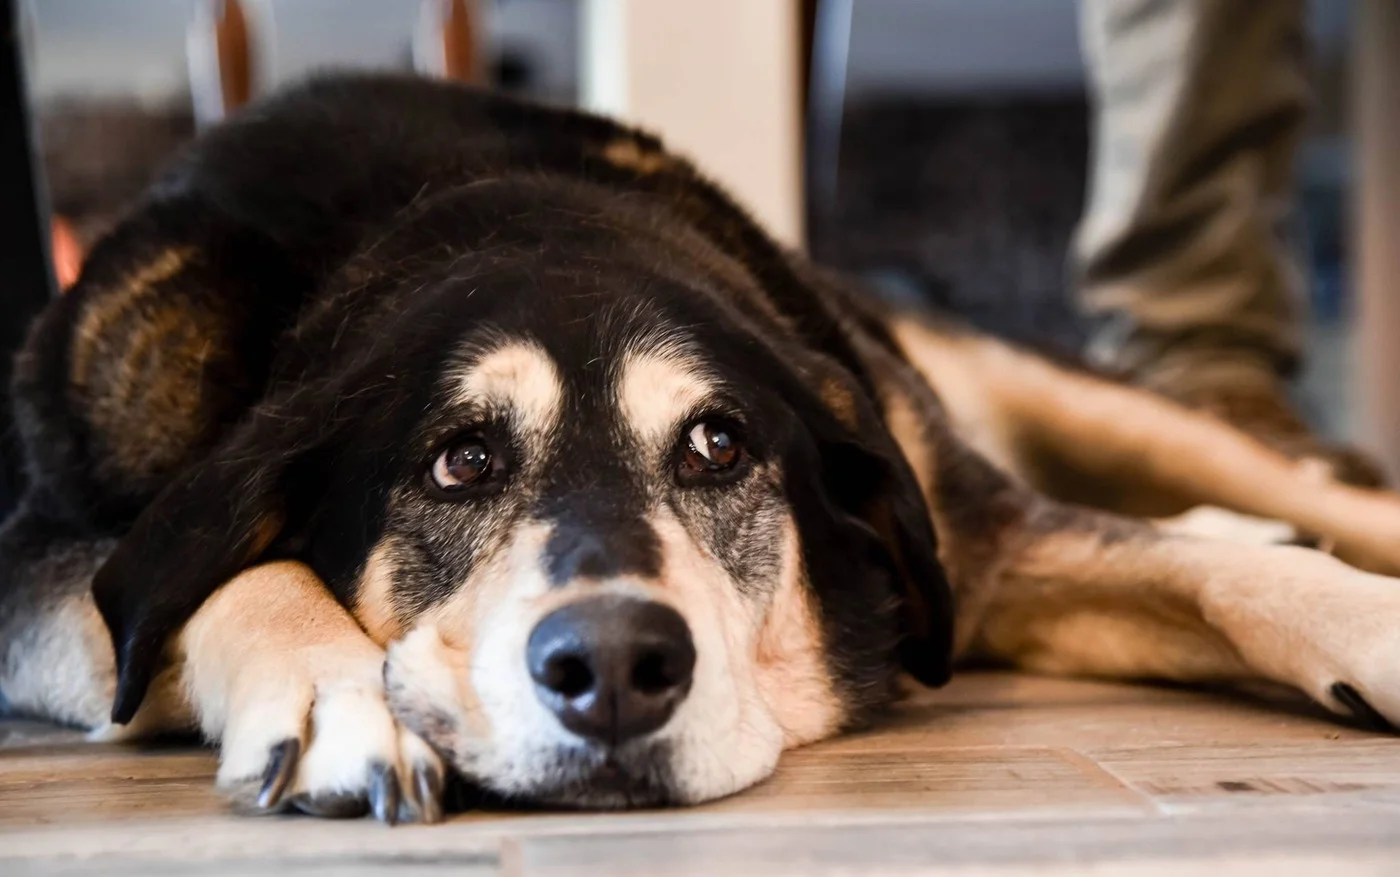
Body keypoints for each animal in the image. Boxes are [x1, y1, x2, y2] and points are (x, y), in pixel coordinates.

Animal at [2, 73, 1400, 818]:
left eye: (718, 446)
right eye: (460, 460)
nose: (616, 665)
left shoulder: (984, 546)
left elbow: (1225, 576)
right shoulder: (31, 553)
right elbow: (212, 574)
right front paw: (335, 691)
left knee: (1289, 494)